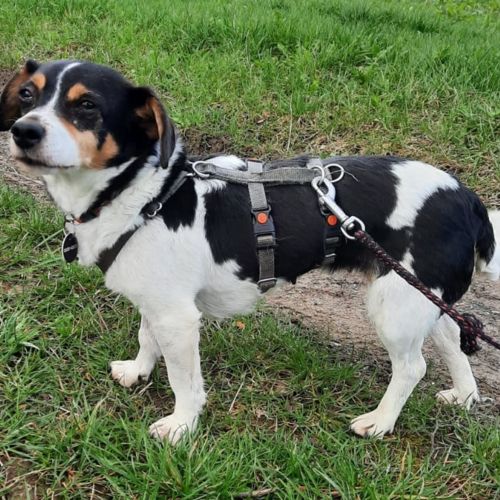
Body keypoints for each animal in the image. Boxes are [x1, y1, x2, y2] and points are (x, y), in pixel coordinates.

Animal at [1, 60, 499, 444]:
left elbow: (184, 380)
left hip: (394, 305)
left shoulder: (178, 318)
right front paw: (138, 371)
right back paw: (464, 395)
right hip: (420, 295)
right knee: (451, 338)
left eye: (87, 105)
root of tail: (469, 200)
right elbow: (146, 339)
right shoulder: (157, 303)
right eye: (27, 95)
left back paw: (380, 422)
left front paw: (181, 426)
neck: (143, 194)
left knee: (413, 367)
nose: (23, 131)